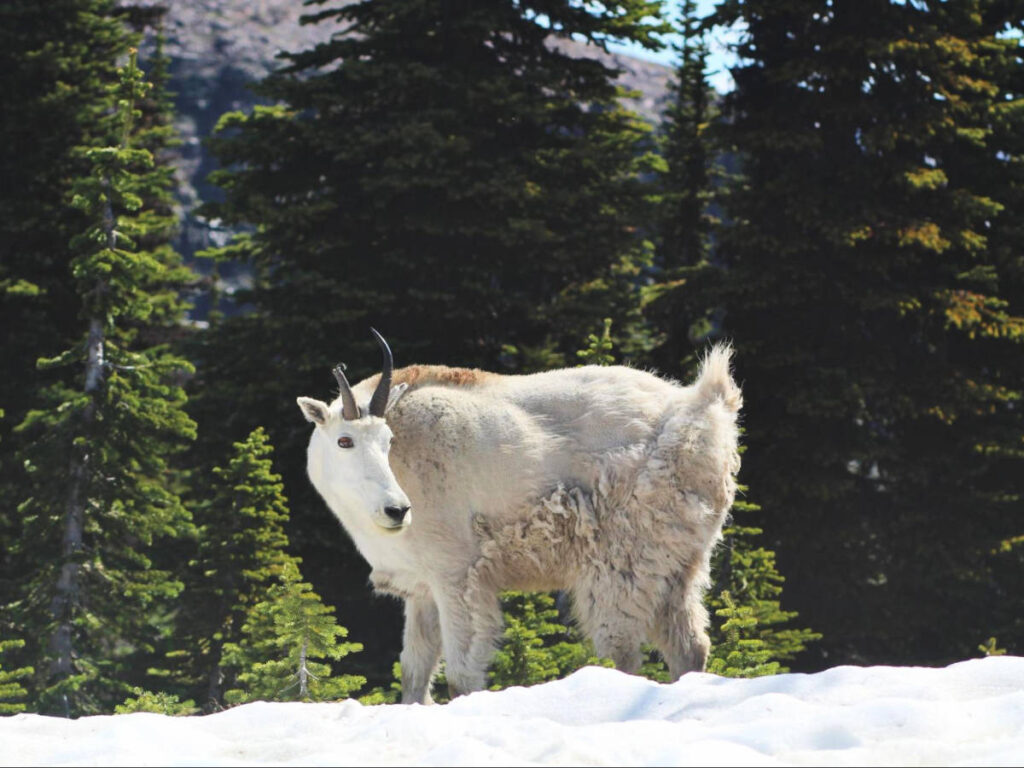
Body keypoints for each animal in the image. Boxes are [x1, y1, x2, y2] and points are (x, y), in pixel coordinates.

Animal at [297, 329, 742, 703]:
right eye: (344, 441)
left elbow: (460, 676)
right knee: (690, 646)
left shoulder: (456, 574)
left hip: (622, 561)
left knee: (622, 653)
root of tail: (701, 414)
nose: (397, 510)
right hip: (680, 561)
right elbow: (413, 674)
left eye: (388, 440)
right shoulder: (421, 589)